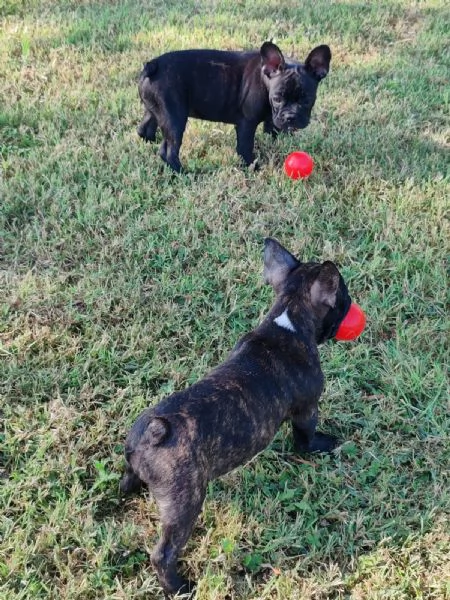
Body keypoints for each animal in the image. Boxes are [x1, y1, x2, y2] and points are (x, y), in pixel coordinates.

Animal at [121, 239, 354, 596]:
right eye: (343, 296)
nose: (353, 301)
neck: (288, 318)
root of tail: (153, 432)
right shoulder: (307, 409)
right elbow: (305, 438)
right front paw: (322, 445)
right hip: (185, 501)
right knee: (163, 553)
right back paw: (178, 587)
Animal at [137, 41, 330, 171]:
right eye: (277, 98)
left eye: (307, 100)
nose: (290, 116)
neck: (265, 79)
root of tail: (153, 65)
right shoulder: (247, 123)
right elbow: (245, 147)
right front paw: (252, 167)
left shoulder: (272, 118)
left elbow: (272, 129)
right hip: (175, 117)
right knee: (170, 151)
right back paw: (183, 173)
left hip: (157, 110)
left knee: (145, 128)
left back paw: (151, 142)